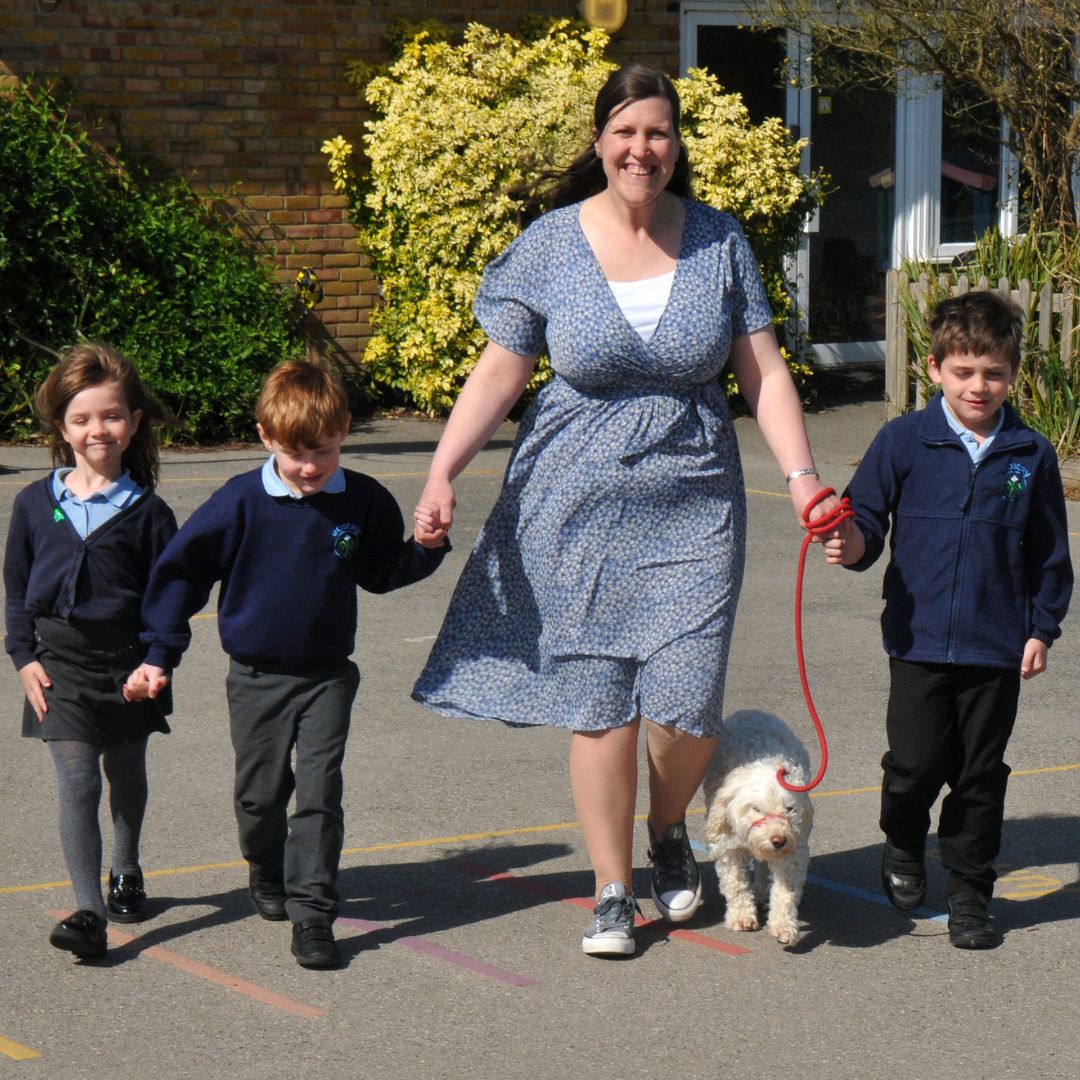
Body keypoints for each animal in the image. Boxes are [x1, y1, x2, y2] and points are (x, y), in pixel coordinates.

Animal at [702, 710, 814, 945]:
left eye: (789, 809)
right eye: (756, 809)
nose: (778, 839)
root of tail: (753, 712)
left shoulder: (793, 851)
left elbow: (786, 890)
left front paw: (783, 926)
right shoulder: (728, 845)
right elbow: (735, 882)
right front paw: (741, 915)